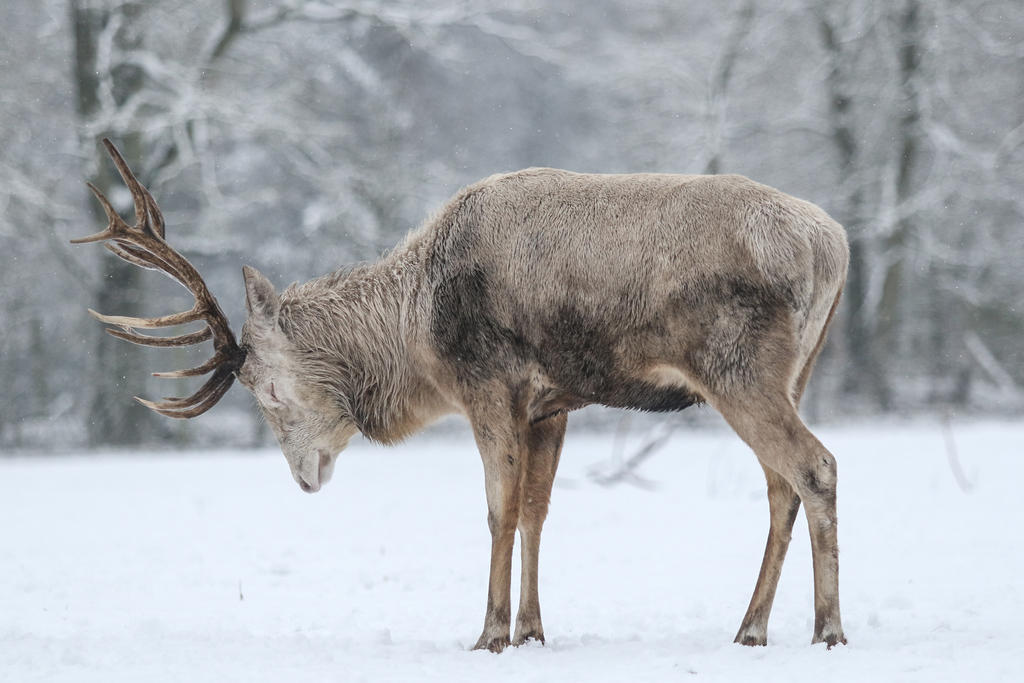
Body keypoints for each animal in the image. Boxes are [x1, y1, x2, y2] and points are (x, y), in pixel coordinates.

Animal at [74, 139, 849, 651]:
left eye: (263, 387)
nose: (305, 476)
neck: (417, 333)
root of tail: (835, 244)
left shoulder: (489, 383)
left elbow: (497, 512)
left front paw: (488, 633)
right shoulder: (552, 404)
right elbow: (536, 512)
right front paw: (532, 629)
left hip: (738, 367)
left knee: (815, 467)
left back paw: (827, 629)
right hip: (792, 374)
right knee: (780, 486)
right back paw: (750, 628)